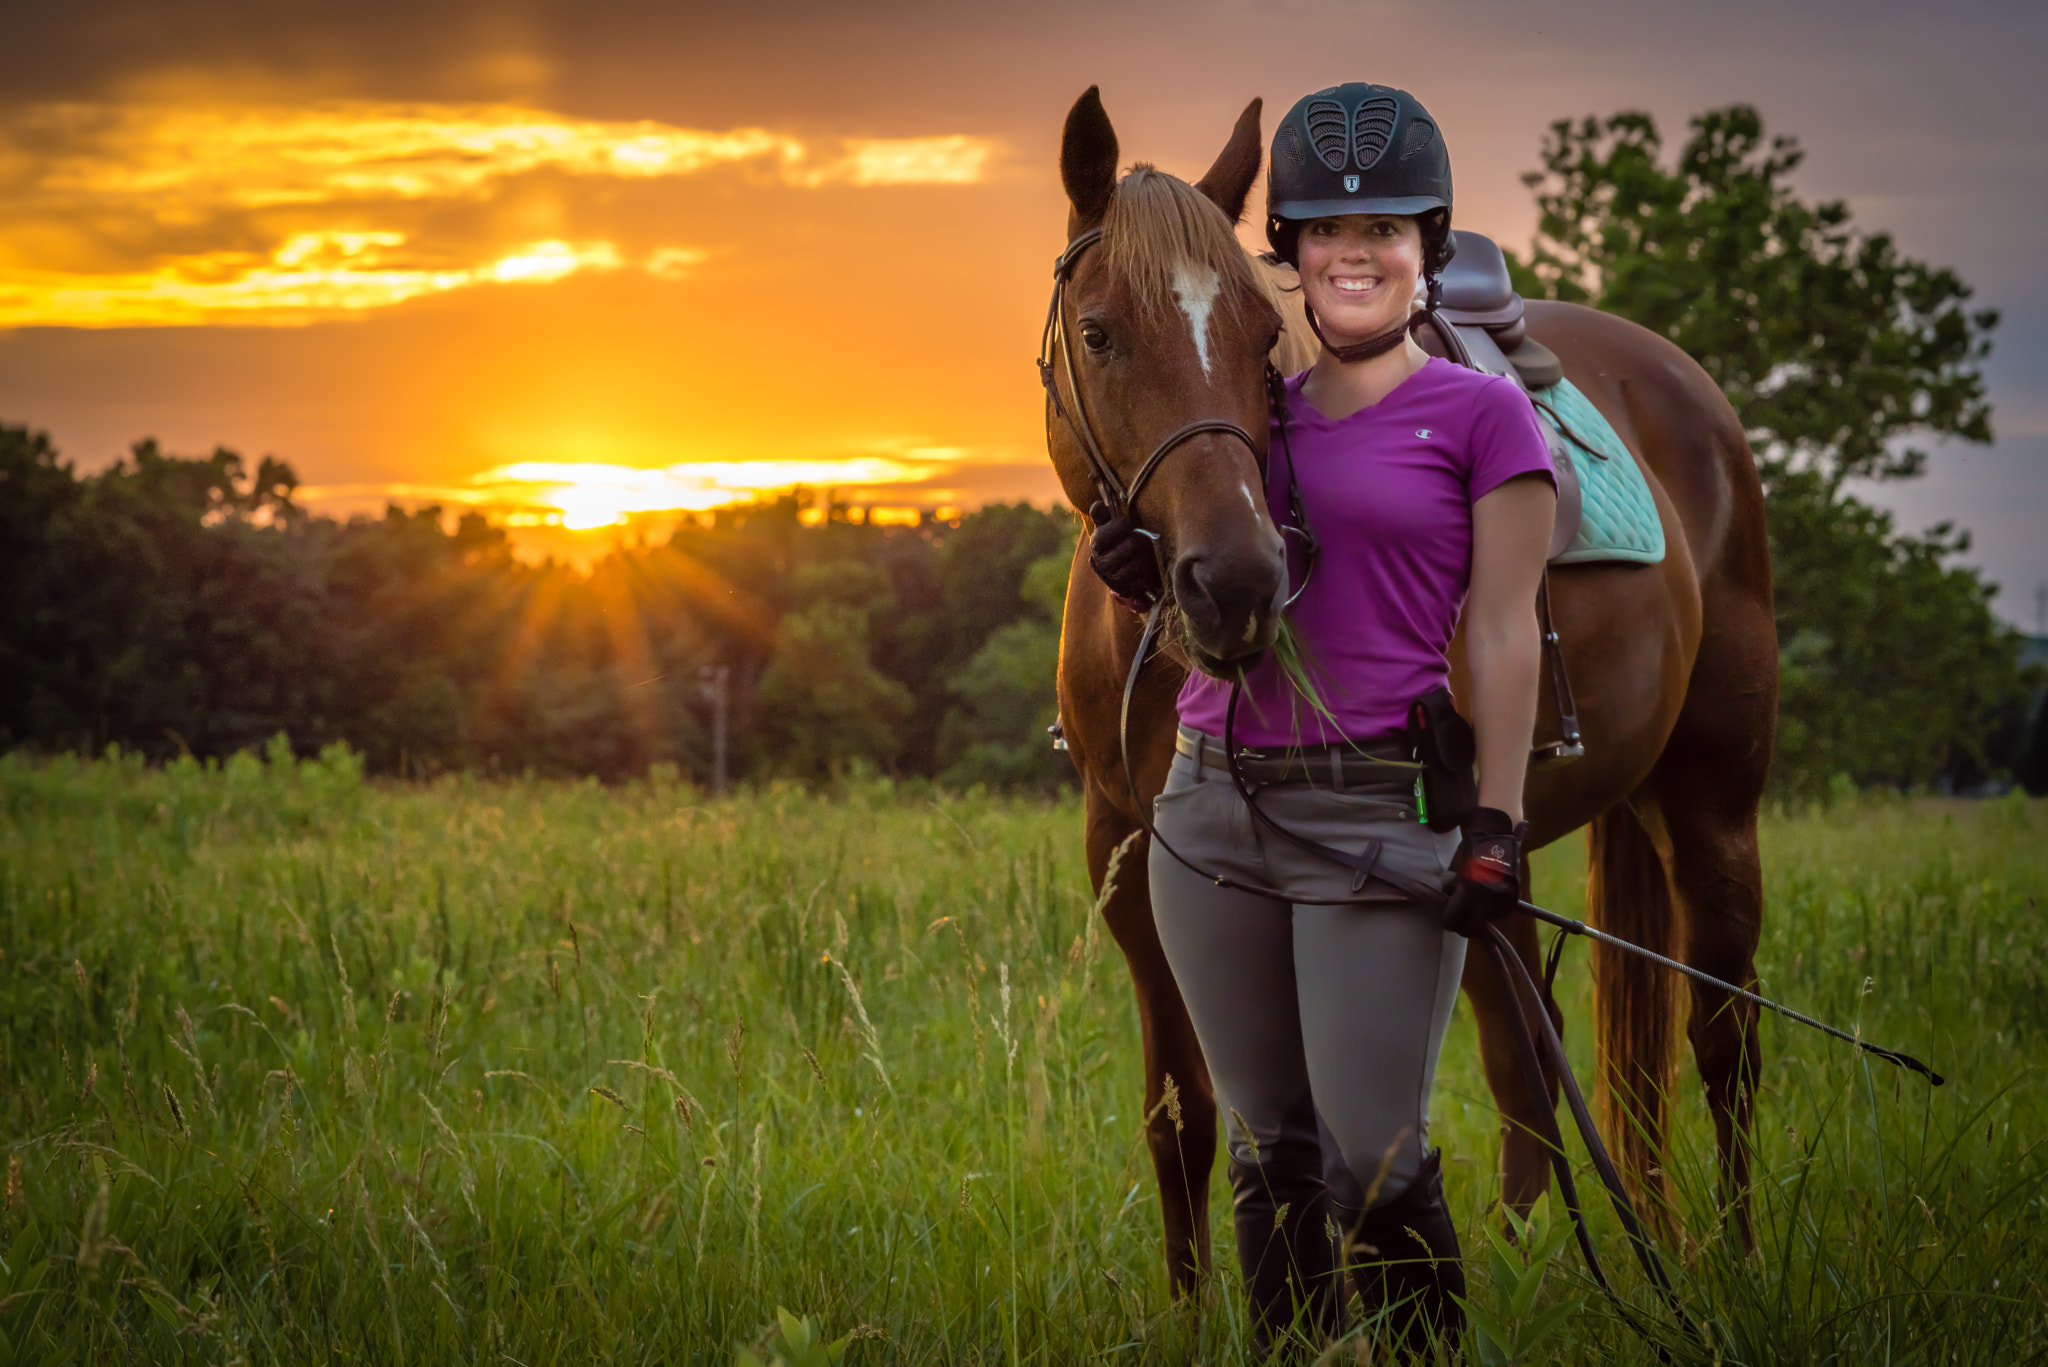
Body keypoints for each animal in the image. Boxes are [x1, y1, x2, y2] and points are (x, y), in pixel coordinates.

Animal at [1040, 90, 1777, 1303]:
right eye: (1098, 333)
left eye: (1261, 339)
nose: (1233, 580)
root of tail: (1685, 387)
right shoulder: (1132, 855)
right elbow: (1180, 1117)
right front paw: (1193, 1316)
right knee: (1535, 1054)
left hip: (1708, 800)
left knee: (1722, 1032)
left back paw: (1738, 1258)